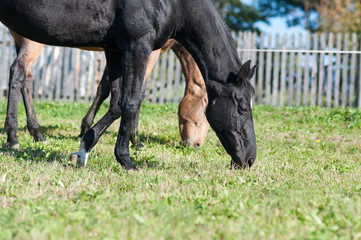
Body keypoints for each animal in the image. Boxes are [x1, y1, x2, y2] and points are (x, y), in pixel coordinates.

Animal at [4, 31, 208, 149]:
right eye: (206, 107)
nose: (195, 145)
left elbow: (104, 87)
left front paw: (85, 128)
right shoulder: (150, 52)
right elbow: (139, 93)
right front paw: (136, 141)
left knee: (27, 81)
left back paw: (37, 133)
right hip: (32, 42)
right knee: (17, 71)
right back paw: (13, 137)